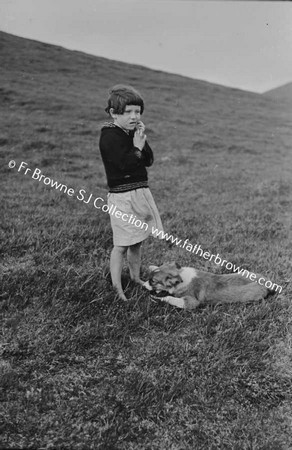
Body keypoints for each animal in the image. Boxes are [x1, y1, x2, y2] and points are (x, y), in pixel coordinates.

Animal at [144, 260, 274, 310]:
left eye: (153, 281)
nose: (143, 285)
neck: (181, 275)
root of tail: (267, 284)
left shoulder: (191, 302)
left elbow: (171, 298)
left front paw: (159, 298)